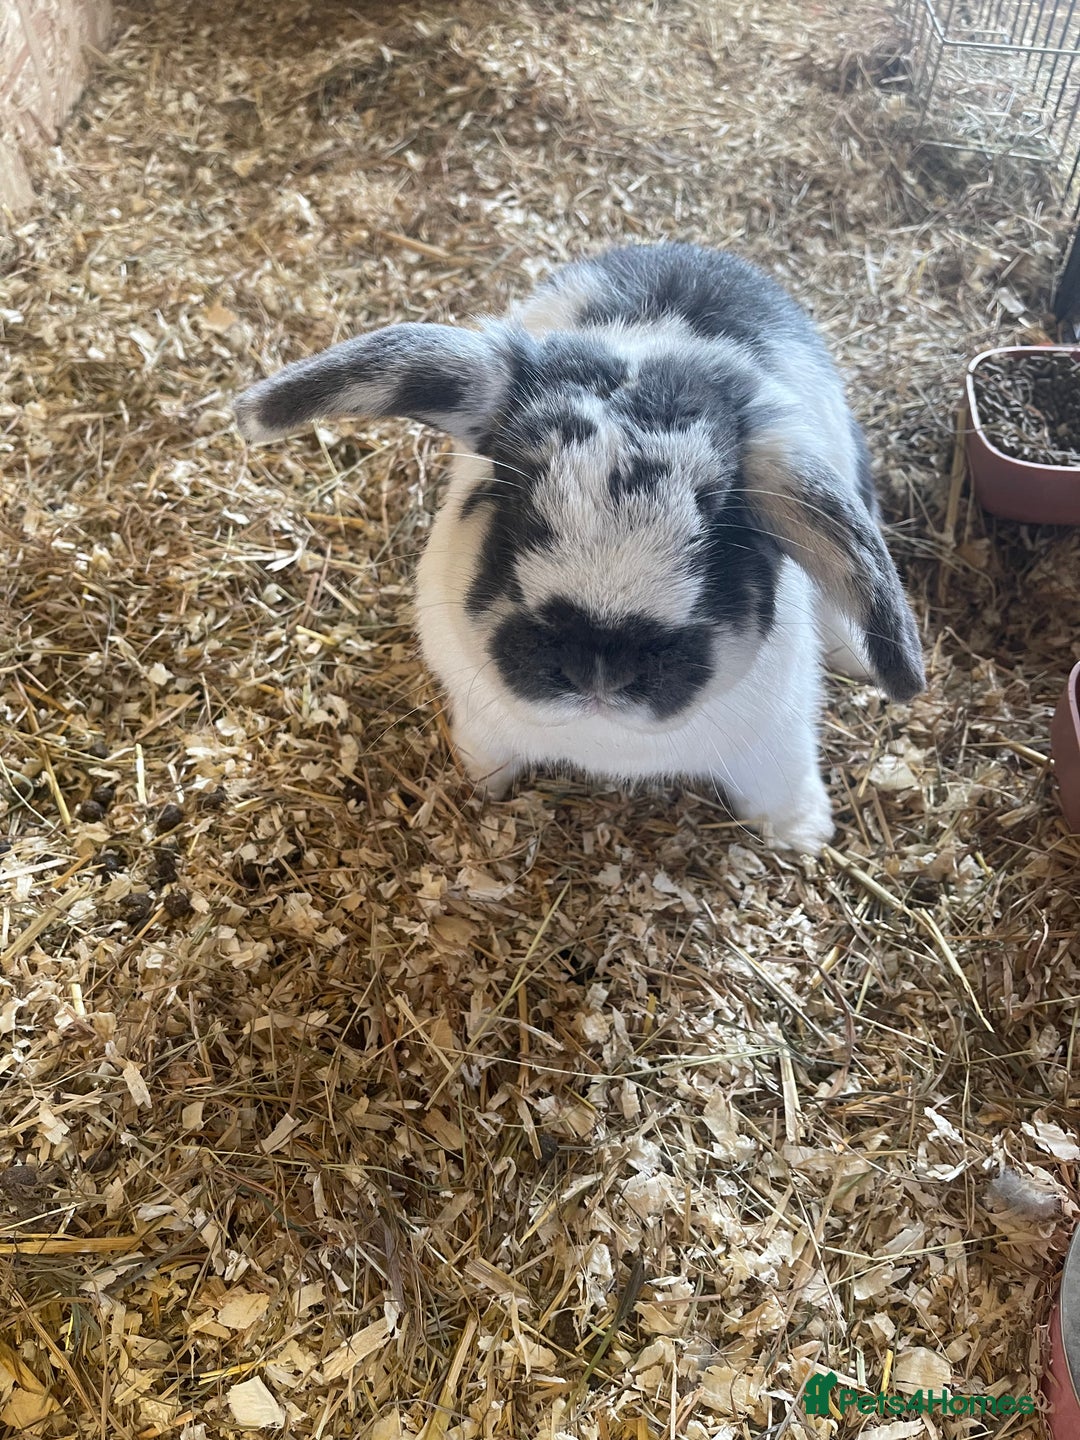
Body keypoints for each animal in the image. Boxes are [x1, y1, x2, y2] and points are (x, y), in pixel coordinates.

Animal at [234, 242, 924, 854]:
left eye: (722, 520)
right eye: (513, 498)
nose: (599, 662)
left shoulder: (776, 740)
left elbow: (784, 786)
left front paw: (804, 838)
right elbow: (489, 756)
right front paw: (479, 788)